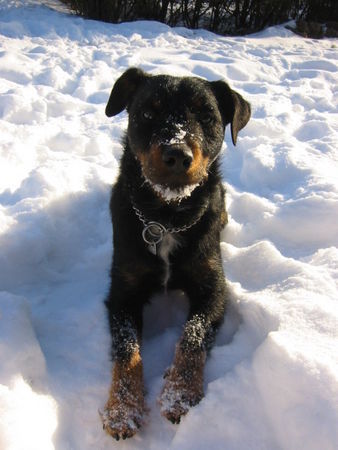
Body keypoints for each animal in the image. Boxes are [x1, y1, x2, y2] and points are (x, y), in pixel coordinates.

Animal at [99, 68, 250, 442]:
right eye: (148, 112)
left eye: (206, 115)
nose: (177, 154)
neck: (166, 218)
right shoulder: (122, 292)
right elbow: (127, 350)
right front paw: (122, 410)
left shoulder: (214, 288)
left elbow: (192, 336)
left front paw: (179, 395)